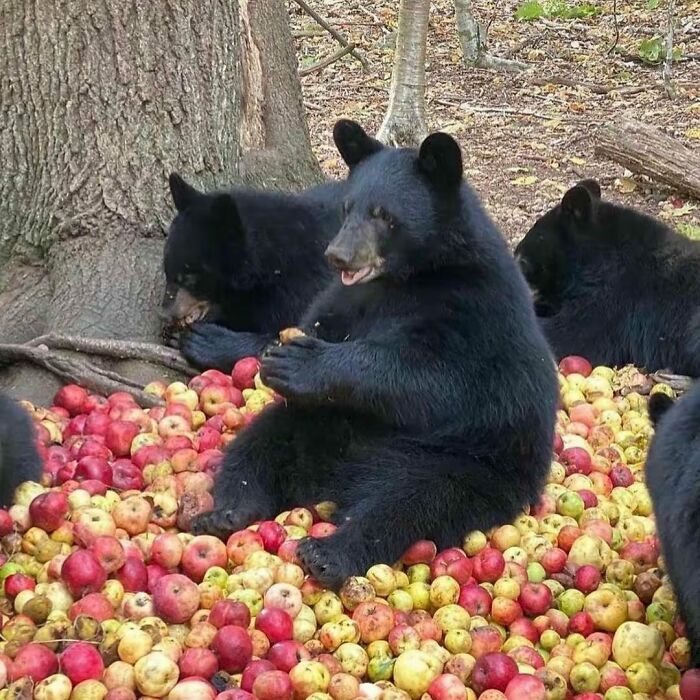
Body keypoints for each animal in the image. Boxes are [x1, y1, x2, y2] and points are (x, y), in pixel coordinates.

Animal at [190, 119, 558, 588]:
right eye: (348, 207)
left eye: (384, 215)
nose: (338, 255)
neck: (407, 277)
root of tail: (336, 480)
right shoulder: (350, 298)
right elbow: (319, 319)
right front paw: (275, 354)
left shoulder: (473, 308)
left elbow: (436, 378)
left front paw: (303, 363)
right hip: (318, 426)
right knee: (259, 444)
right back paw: (228, 511)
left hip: (464, 462)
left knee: (409, 501)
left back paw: (330, 552)